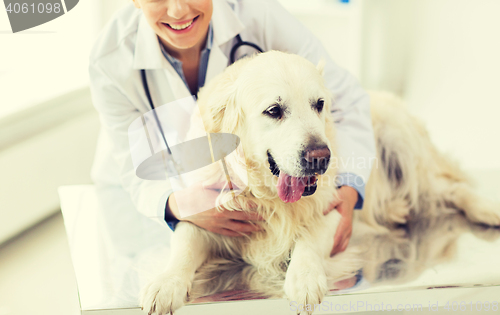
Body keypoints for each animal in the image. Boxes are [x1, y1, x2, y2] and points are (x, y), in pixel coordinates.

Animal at [140, 50, 500, 314]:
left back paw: (487, 211)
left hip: (402, 144)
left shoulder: (336, 208)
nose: (320, 157)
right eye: (274, 110)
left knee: (453, 189)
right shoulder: (208, 212)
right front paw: (165, 283)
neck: (269, 200)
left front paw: (304, 277)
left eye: (319, 104)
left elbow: (310, 237)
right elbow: (185, 241)